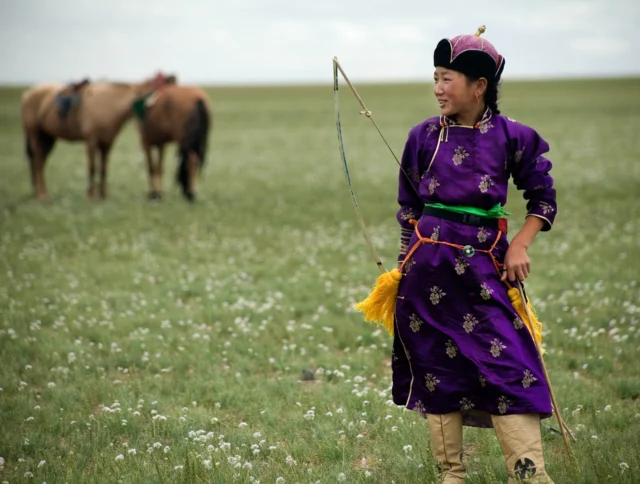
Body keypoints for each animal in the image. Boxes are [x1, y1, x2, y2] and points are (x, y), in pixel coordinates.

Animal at [21, 72, 176, 200]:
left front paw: (102, 195)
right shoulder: (91, 141)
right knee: (38, 161)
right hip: (35, 135)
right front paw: (90, 196)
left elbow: (103, 168)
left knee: (40, 161)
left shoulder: (107, 143)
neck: (108, 105)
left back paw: (39, 192)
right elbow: (92, 168)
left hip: (48, 138)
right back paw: (42, 195)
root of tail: (29, 93)